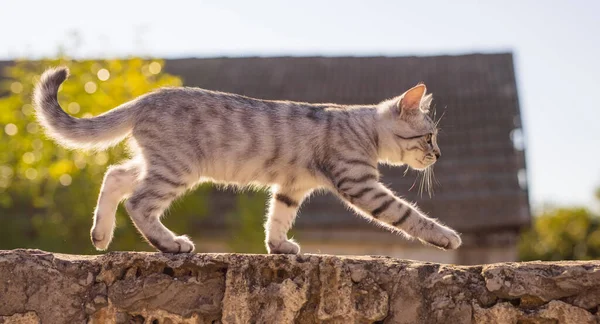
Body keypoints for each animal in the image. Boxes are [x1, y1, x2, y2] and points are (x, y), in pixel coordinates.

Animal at [34, 66, 464, 253]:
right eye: (429, 137)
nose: (439, 154)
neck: (362, 127)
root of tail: (145, 99)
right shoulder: (360, 184)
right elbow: (408, 214)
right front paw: (446, 236)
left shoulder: (292, 186)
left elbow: (278, 217)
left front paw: (279, 246)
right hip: (178, 169)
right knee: (138, 202)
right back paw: (170, 244)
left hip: (156, 163)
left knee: (114, 176)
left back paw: (100, 235)